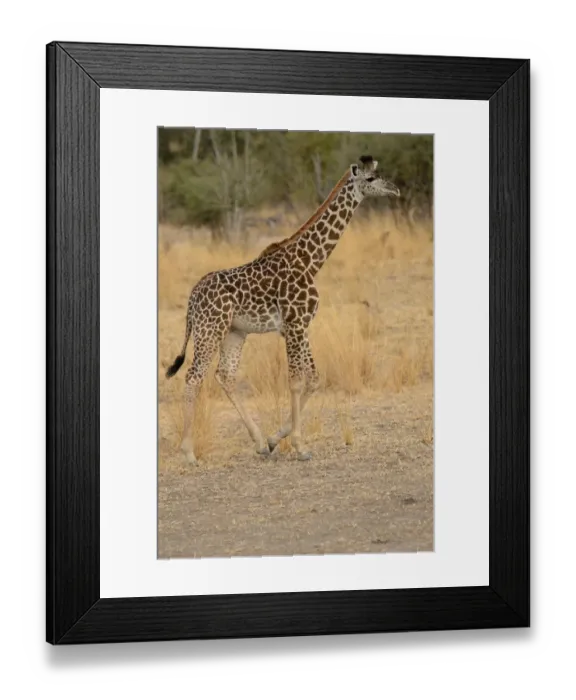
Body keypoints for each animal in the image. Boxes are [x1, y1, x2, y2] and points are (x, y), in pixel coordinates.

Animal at [165, 155, 400, 464]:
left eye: (379, 174)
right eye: (371, 179)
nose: (395, 189)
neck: (310, 261)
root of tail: (192, 299)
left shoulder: (299, 325)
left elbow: (313, 379)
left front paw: (274, 439)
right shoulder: (294, 324)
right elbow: (296, 381)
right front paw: (300, 446)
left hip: (235, 332)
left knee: (224, 375)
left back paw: (258, 443)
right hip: (209, 330)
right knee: (194, 376)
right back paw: (188, 452)